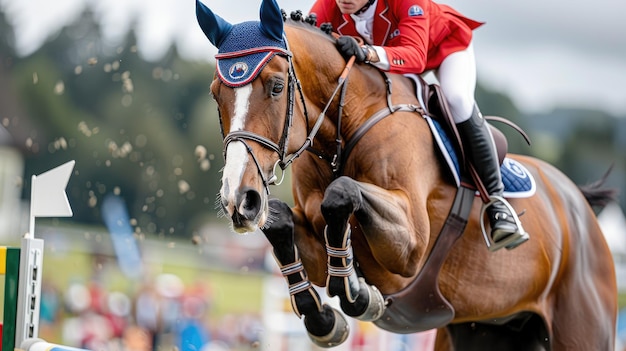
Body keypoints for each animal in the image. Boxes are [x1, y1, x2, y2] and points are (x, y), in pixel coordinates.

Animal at [195, 0, 616, 350]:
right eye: (216, 93)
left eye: (277, 86)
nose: (240, 200)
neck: (346, 125)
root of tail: (579, 205)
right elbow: (282, 222)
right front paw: (325, 319)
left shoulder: (410, 247)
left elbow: (342, 194)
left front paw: (356, 292)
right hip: (482, 330)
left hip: (582, 328)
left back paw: (502, 220)